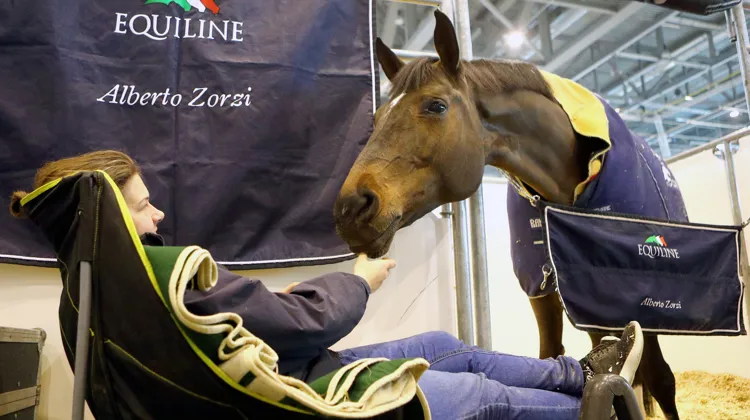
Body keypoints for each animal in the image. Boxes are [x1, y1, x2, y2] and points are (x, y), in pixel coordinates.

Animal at [333, 9, 684, 420]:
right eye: (377, 117)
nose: (350, 209)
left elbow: (661, 379)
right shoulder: (544, 290)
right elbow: (550, 354)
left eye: (436, 105)